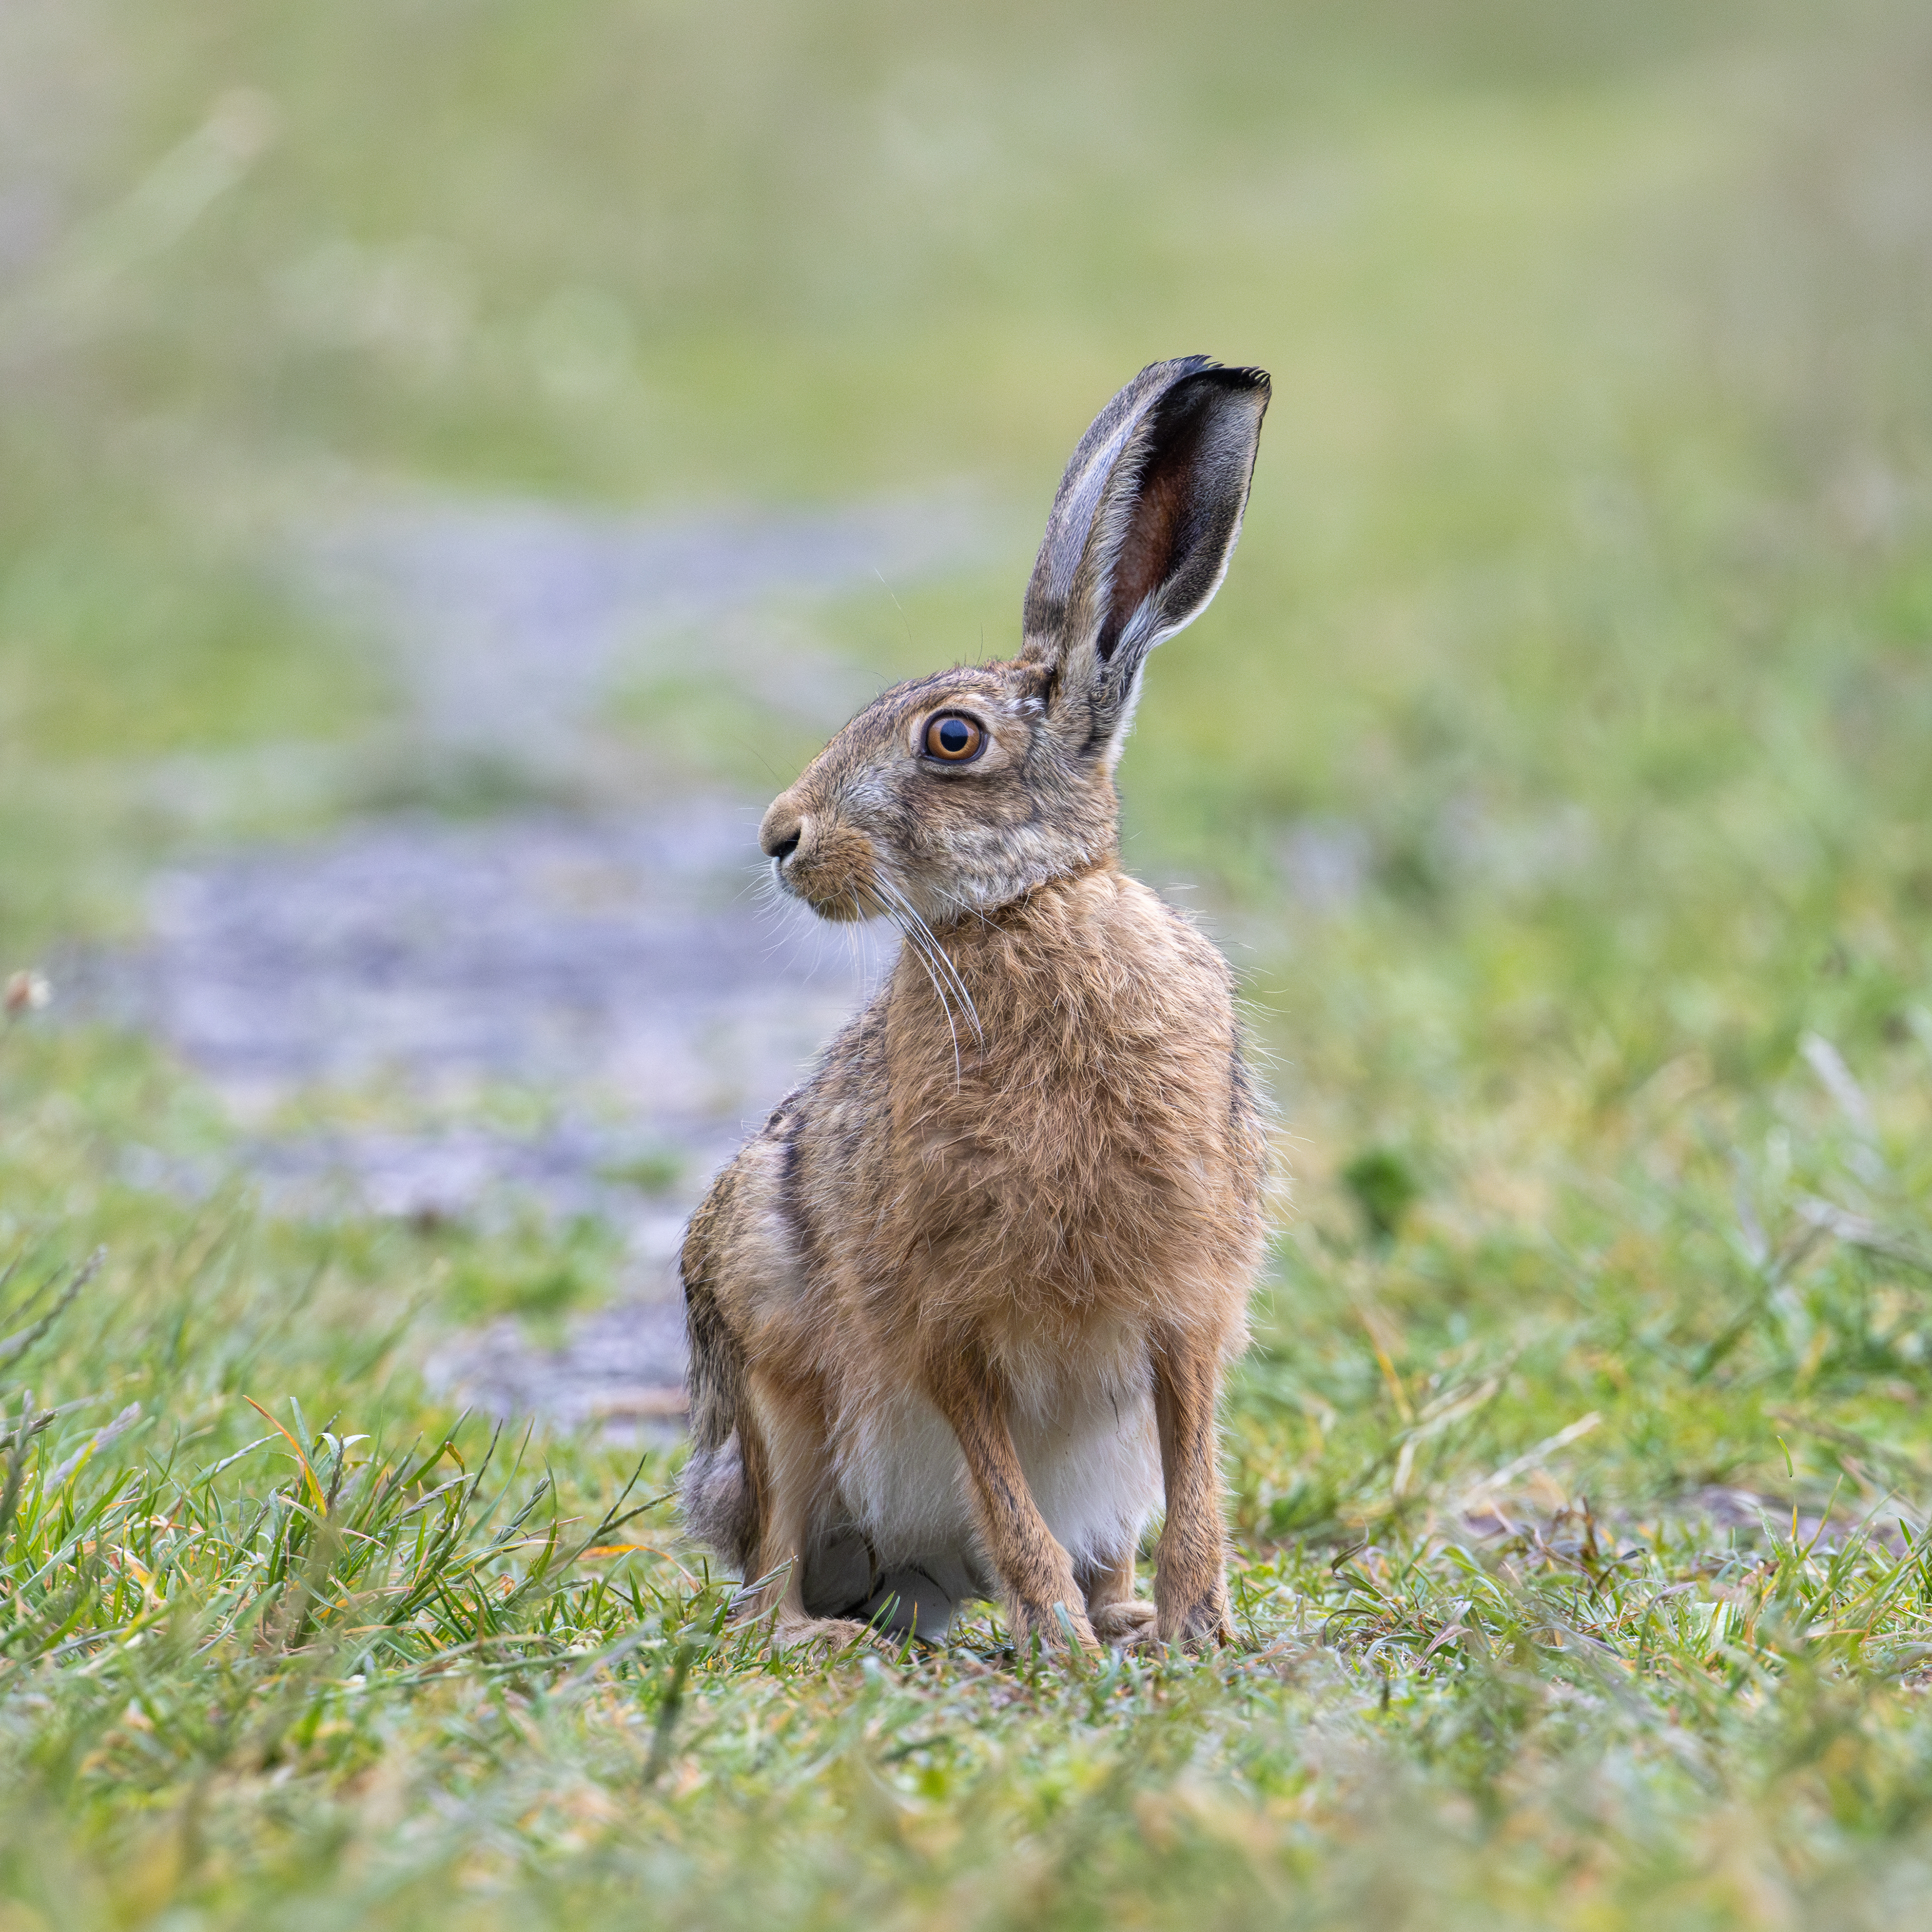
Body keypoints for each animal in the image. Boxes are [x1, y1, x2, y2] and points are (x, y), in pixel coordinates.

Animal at [678, 356, 1272, 1653]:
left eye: (952, 738)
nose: (780, 839)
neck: (1024, 914)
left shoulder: (1187, 1309)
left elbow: (1196, 1464)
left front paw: (1195, 1624)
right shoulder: (941, 1321)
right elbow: (1000, 1484)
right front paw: (1053, 1635)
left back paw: (1120, 1615)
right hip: (766, 1361)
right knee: (765, 1567)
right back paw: (825, 1633)